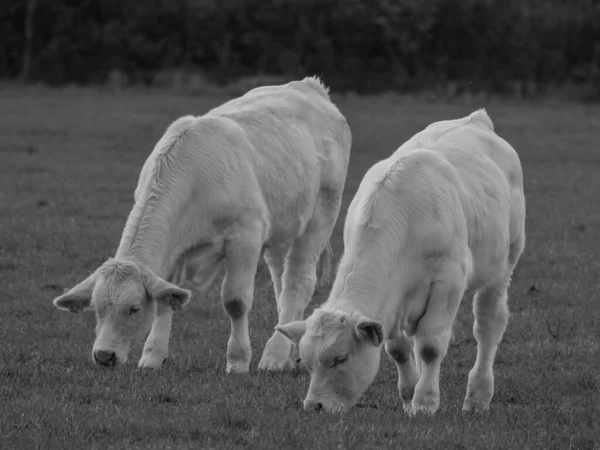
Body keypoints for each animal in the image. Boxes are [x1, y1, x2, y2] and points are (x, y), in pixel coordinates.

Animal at [52, 77, 352, 372]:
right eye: (96, 308)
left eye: (134, 308)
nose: (104, 356)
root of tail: (309, 85)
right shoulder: (174, 248)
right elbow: (166, 301)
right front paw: (153, 356)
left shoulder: (245, 237)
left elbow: (235, 301)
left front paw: (238, 360)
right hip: (283, 228)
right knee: (283, 284)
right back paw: (289, 353)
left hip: (321, 214)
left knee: (298, 282)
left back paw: (274, 357)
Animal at [276, 109, 524, 414]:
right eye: (307, 363)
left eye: (341, 358)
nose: (314, 406)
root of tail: (477, 121)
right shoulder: (393, 299)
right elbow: (398, 348)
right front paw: (408, 396)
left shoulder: (448, 281)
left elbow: (430, 346)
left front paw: (424, 402)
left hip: (502, 267)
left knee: (489, 326)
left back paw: (478, 396)